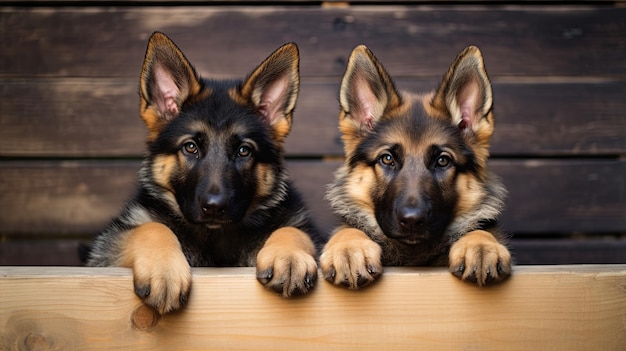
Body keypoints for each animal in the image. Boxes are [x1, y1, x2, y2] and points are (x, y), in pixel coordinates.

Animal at [320, 45, 510, 290]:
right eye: (387, 159)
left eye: (443, 161)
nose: (412, 220)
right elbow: (349, 229)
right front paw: (349, 249)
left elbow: (478, 229)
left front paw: (481, 246)